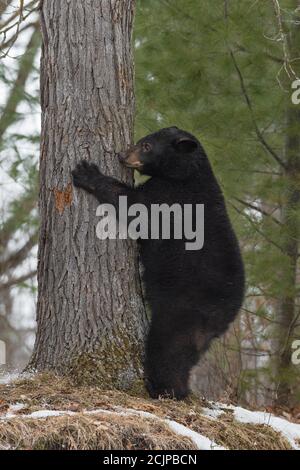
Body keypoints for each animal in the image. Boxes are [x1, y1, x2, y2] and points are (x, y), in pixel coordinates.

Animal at [71, 126, 245, 398]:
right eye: (143, 140)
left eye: (147, 146)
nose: (122, 155)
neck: (185, 175)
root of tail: (228, 311)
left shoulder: (171, 199)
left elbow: (135, 206)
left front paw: (87, 172)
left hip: (182, 309)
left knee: (168, 347)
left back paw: (165, 388)